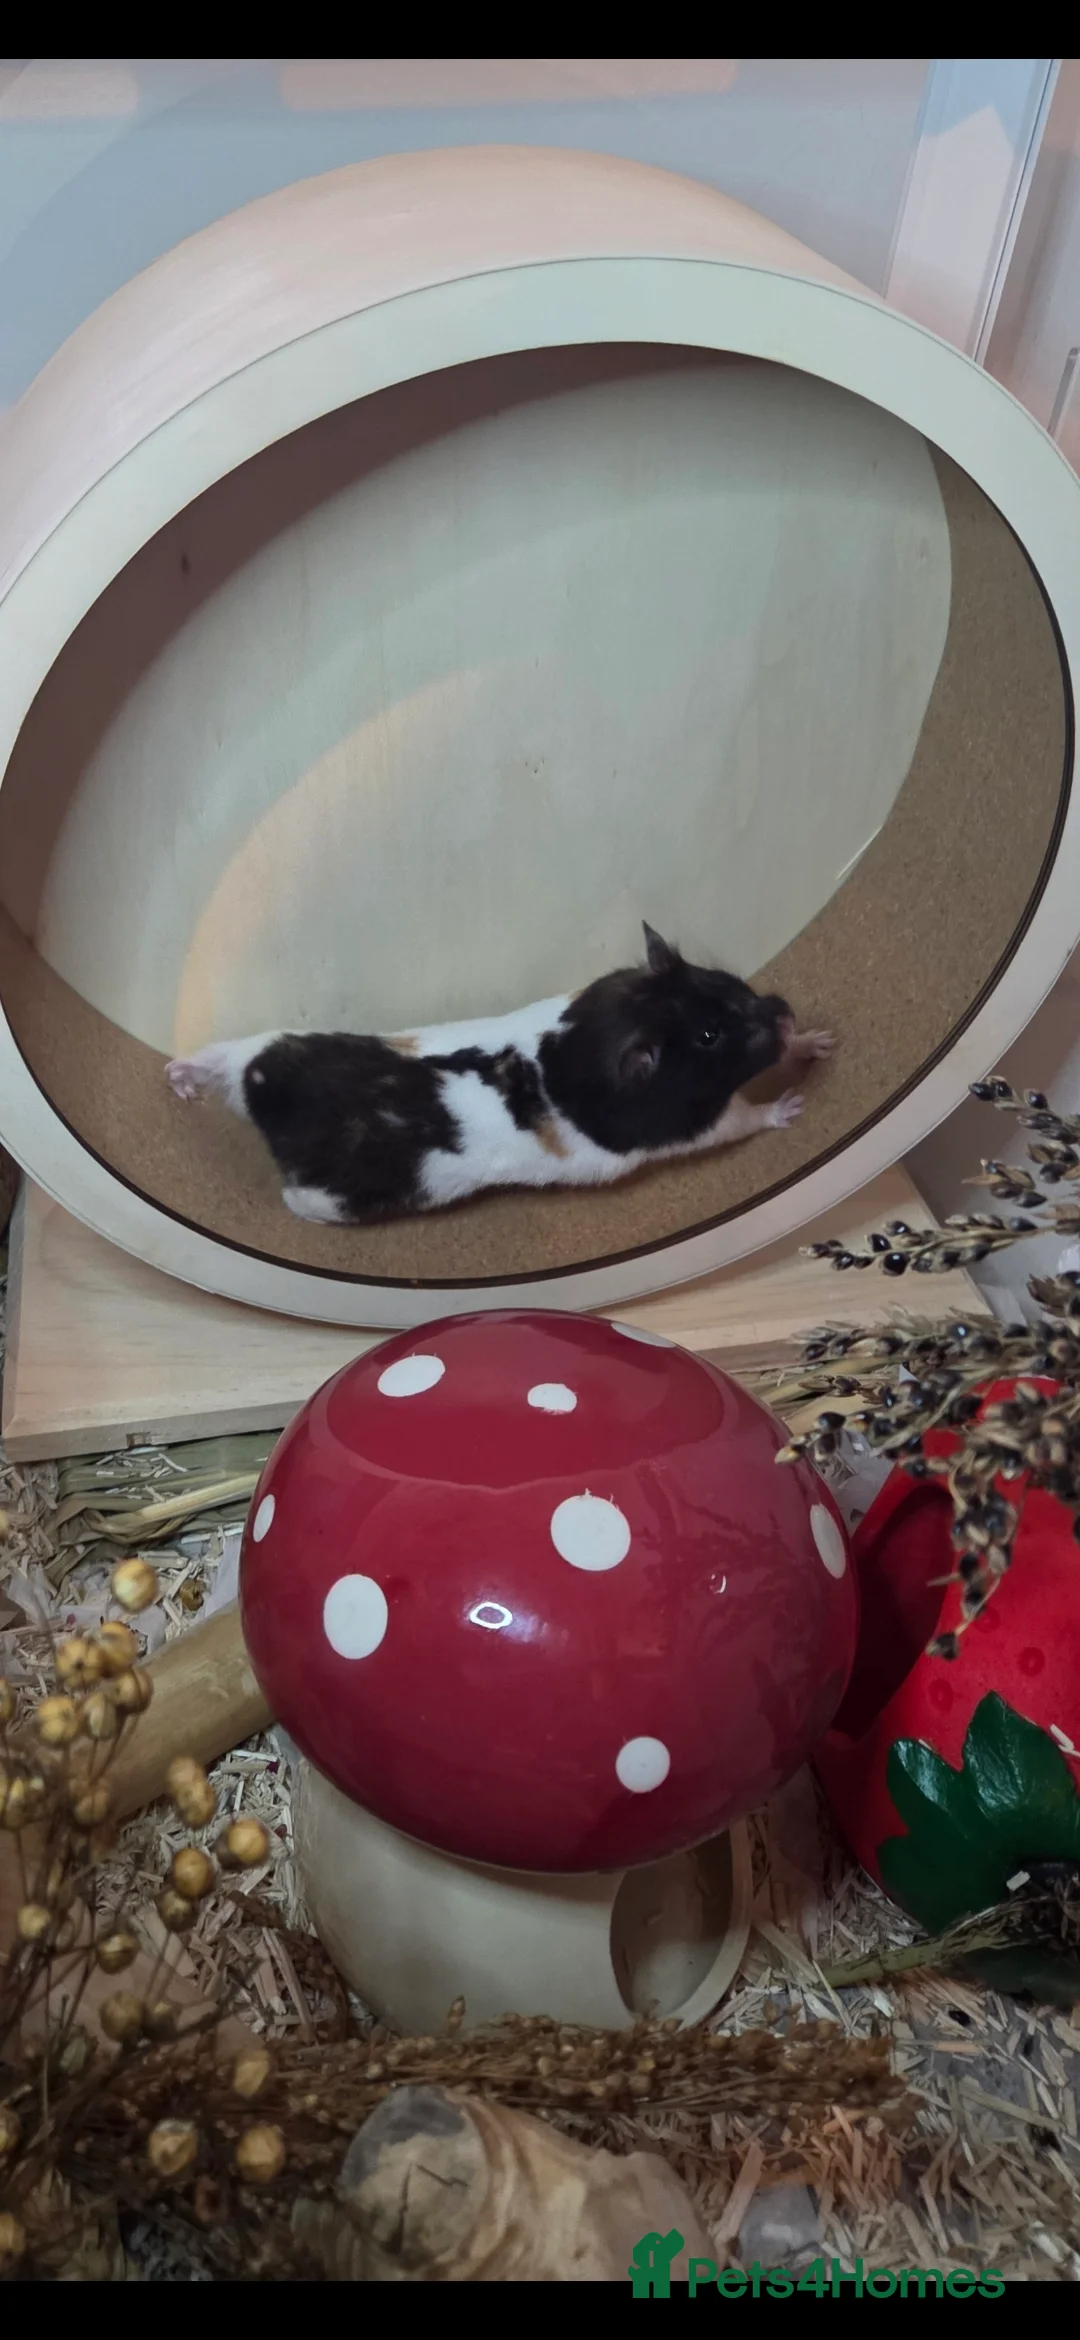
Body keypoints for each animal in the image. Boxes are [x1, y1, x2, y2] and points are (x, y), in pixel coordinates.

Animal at [165, 923, 834, 1226]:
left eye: (722, 982)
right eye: (709, 1037)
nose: (785, 1010)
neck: (576, 1049)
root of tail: (268, 1096)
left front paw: (818, 1040)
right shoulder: (691, 1127)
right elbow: (746, 1116)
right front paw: (792, 1105)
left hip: (266, 1046)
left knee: (219, 1057)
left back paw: (178, 1076)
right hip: (335, 1197)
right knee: (294, 1197)